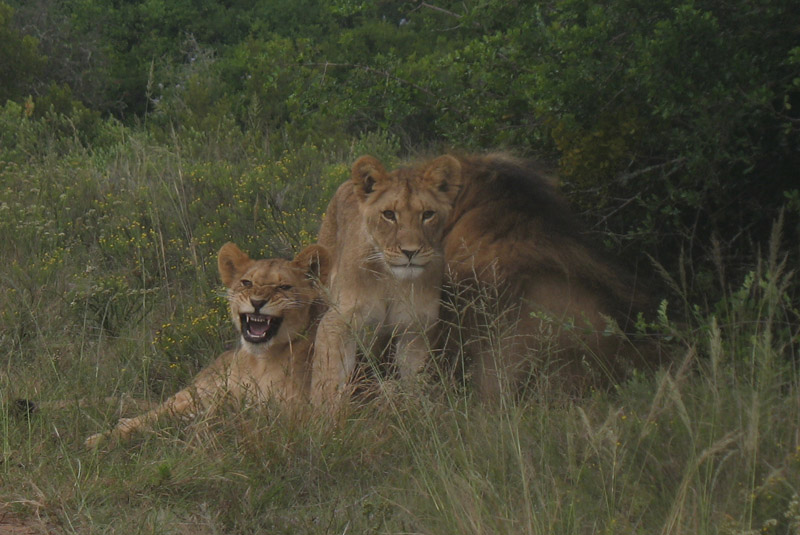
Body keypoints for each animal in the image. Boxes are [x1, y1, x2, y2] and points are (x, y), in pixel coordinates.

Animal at [84, 242, 329, 448]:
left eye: (284, 287)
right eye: (247, 283)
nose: (257, 302)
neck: (260, 359)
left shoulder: (295, 413)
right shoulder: (220, 395)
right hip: (196, 393)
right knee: (155, 413)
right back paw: (101, 437)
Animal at [311, 155, 462, 405]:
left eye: (428, 214)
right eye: (389, 214)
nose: (410, 252)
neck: (392, 281)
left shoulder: (415, 329)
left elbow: (413, 381)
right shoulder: (338, 322)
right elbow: (328, 380)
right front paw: (323, 413)